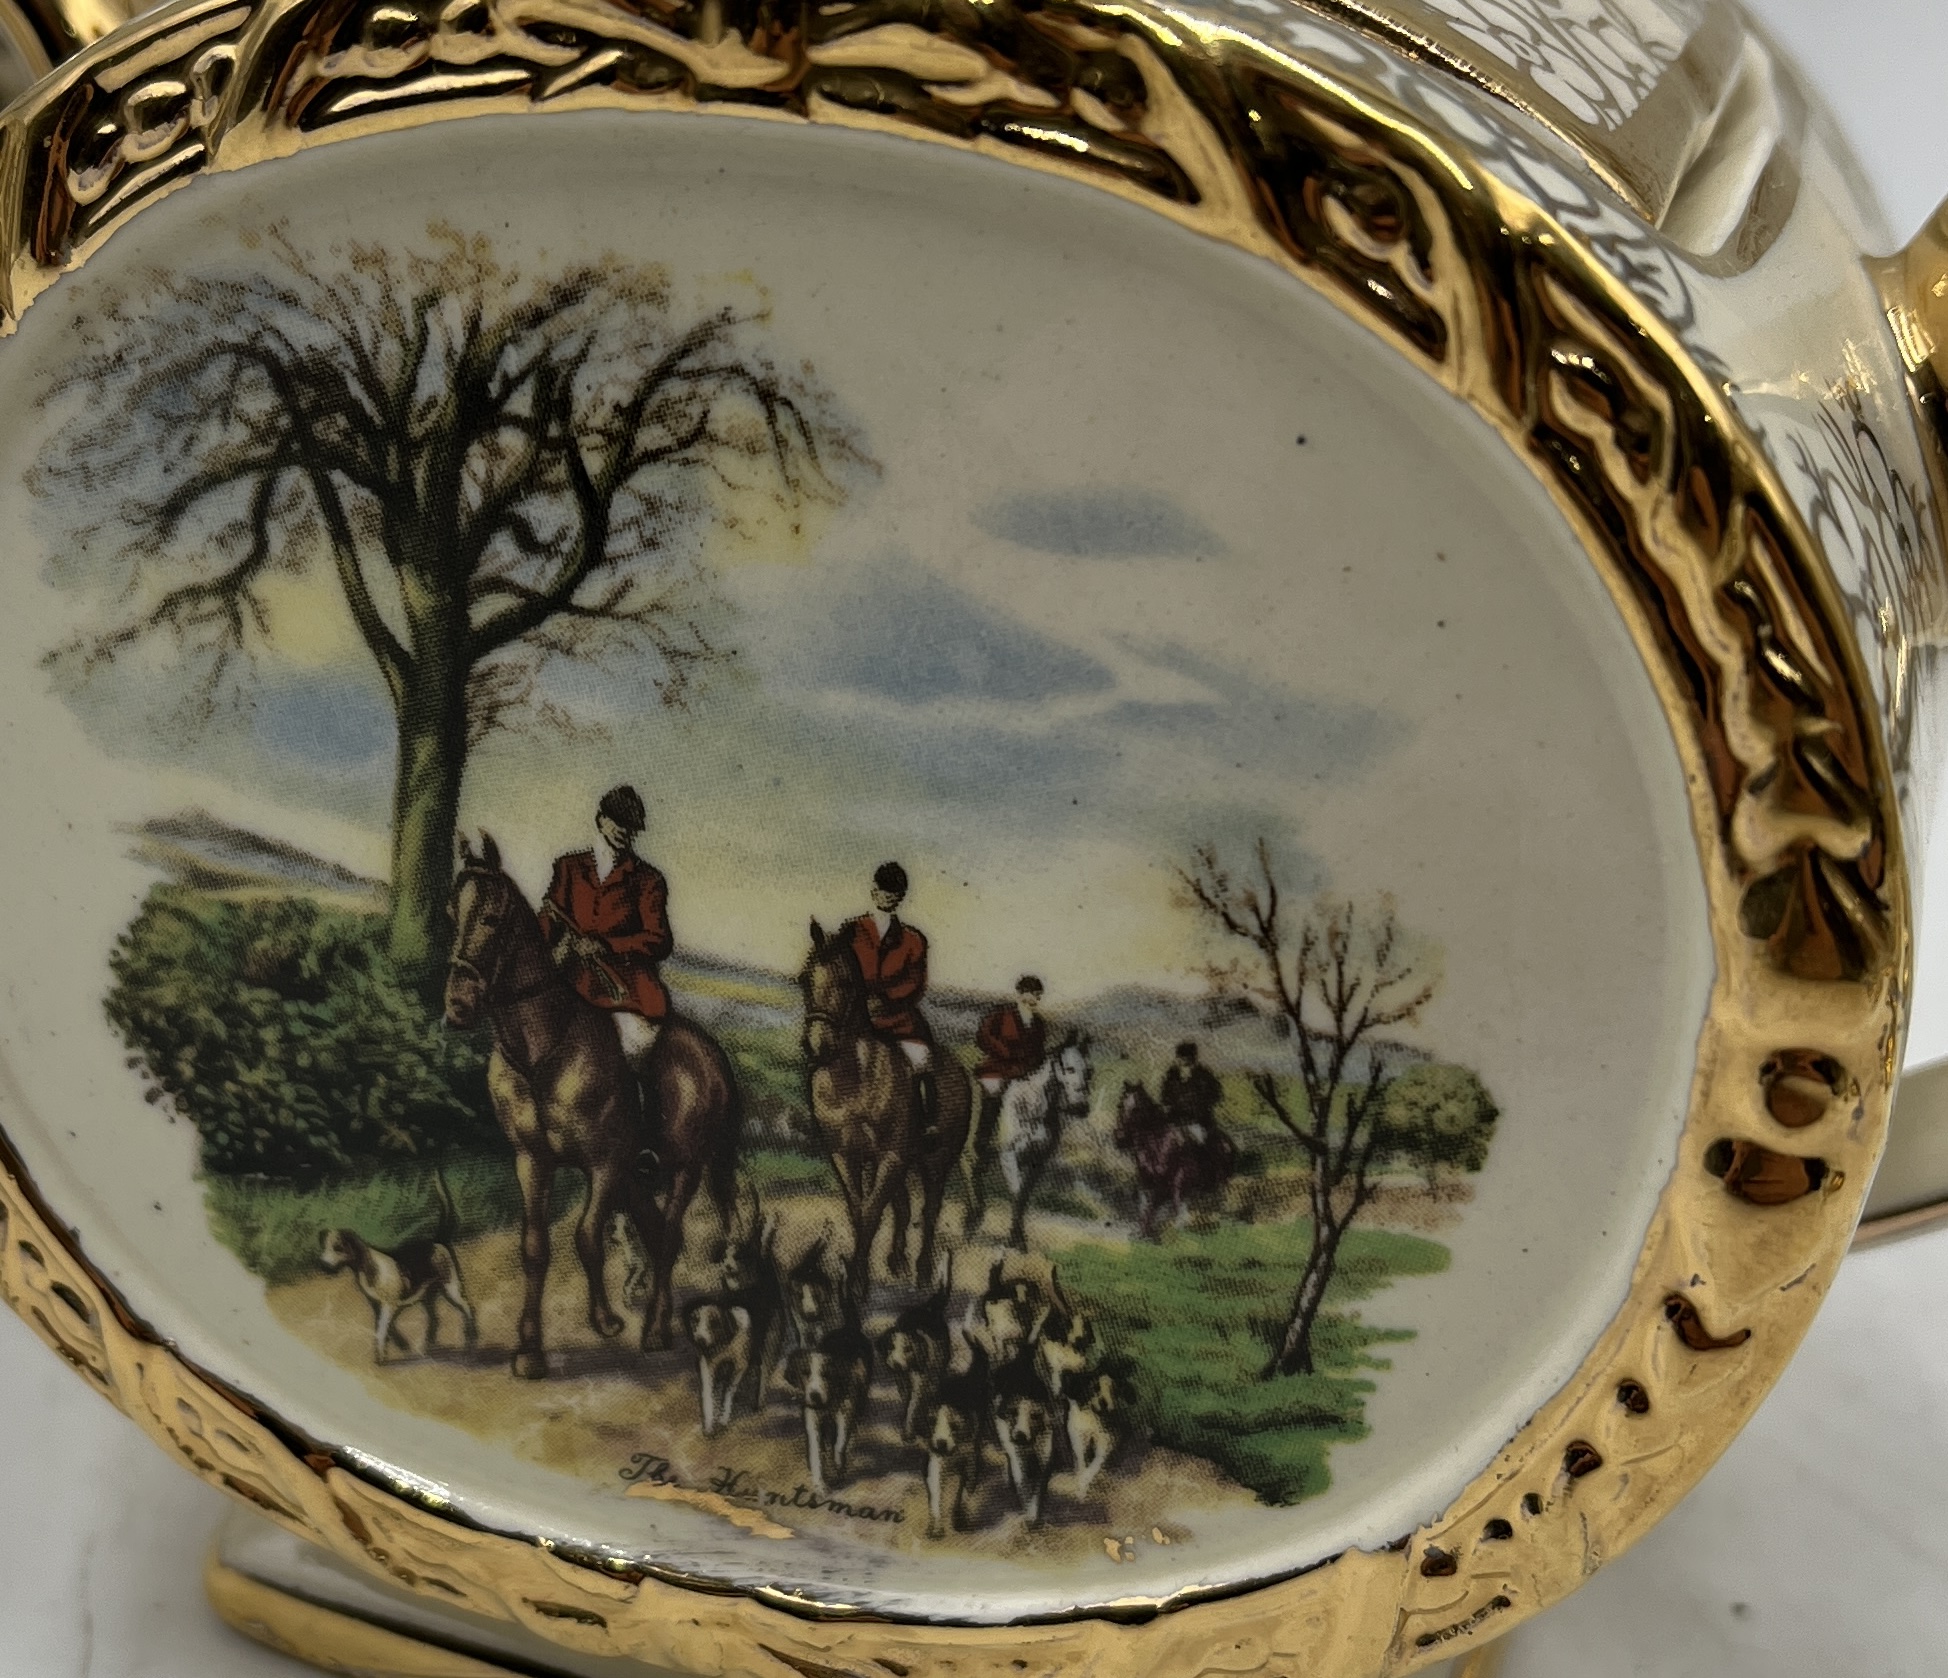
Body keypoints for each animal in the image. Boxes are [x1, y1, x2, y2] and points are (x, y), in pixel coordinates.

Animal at [446, 830, 740, 1372]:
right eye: (452, 913)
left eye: (492, 918)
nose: (457, 1007)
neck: (544, 1049)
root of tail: (710, 1052)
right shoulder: (532, 1159)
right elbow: (535, 1247)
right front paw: (529, 1351)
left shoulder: (604, 1164)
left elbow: (586, 1237)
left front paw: (605, 1321)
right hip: (635, 1176)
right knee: (658, 1232)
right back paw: (659, 1322)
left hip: (684, 1165)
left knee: (669, 1236)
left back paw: (654, 1330)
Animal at [794, 923, 970, 1301]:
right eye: (803, 978)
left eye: (847, 983)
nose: (817, 1046)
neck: (853, 1077)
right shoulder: (845, 1153)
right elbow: (859, 1209)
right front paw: (856, 1275)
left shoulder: (891, 1155)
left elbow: (872, 1212)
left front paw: (857, 1282)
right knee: (902, 1207)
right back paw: (896, 1261)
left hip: (934, 1161)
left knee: (928, 1211)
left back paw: (922, 1272)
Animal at [1114, 1083, 1231, 1239]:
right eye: (1120, 1105)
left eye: (1136, 1108)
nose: (1120, 1138)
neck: (1157, 1143)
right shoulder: (1147, 1182)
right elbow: (1145, 1207)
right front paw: (1142, 1233)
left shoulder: (1172, 1182)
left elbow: (1167, 1206)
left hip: (1215, 1182)